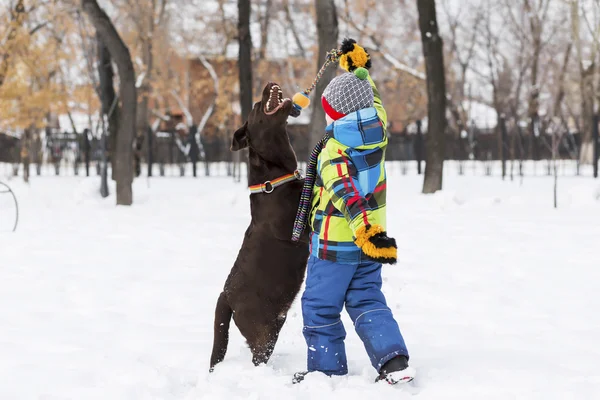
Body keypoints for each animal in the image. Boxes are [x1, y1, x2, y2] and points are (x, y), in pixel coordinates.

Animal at [209, 82, 310, 372]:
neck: (274, 180)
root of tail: (225, 296)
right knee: (258, 357)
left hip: (273, 324)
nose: (267, 85)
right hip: (261, 331)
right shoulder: (297, 224)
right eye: (256, 107)